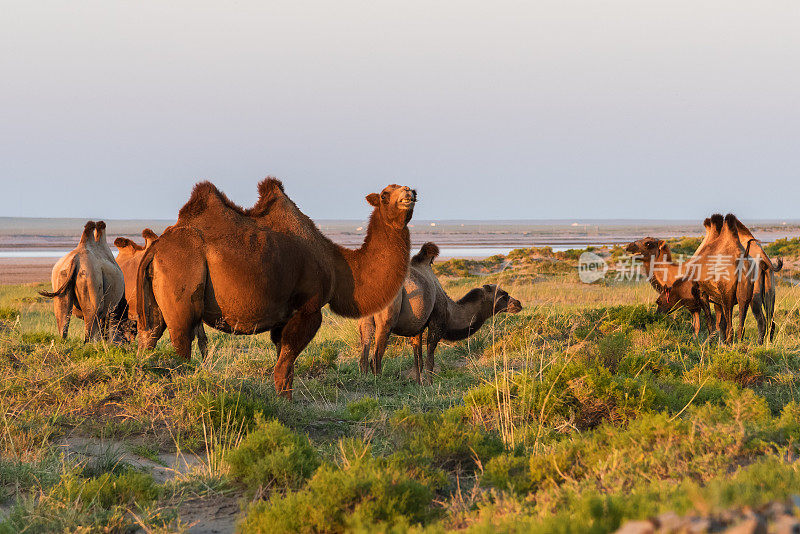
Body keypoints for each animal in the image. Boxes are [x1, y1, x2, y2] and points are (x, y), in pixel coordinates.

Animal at [136, 182, 418, 400]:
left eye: (409, 189)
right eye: (385, 194)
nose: (409, 192)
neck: (337, 264)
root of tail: (157, 246)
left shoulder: (281, 319)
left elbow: (284, 364)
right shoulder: (309, 309)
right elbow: (284, 367)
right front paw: (287, 406)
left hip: (155, 302)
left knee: (149, 336)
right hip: (183, 280)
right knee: (181, 342)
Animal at [358, 243, 520, 386]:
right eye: (503, 295)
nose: (518, 304)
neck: (450, 309)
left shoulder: (417, 328)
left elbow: (418, 360)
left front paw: (419, 384)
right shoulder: (437, 322)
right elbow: (430, 360)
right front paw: (430, 384)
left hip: (366, 319)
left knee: (364, 353)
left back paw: (365, 381)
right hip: (387, 321)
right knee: (376, 357)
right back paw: (379, 383)